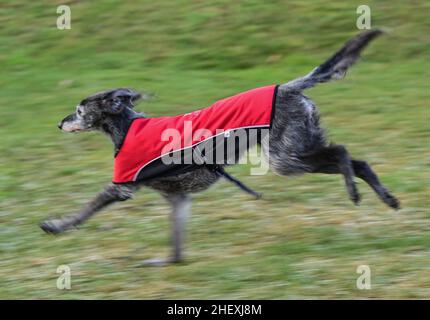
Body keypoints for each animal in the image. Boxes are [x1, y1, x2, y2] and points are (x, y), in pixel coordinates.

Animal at [41, 30, 400, 264]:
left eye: (79, 111)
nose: (58, 123)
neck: (128, 126)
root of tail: (288, 86)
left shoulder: (121, 187)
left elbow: (85, 209)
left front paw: (56, 226)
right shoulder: (178, 199)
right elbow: (176, 244)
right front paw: (168, 263)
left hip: (285, 158)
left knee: (342, 152)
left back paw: (355, 192)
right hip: (296, 150)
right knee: (360, 161)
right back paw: (387, 198)